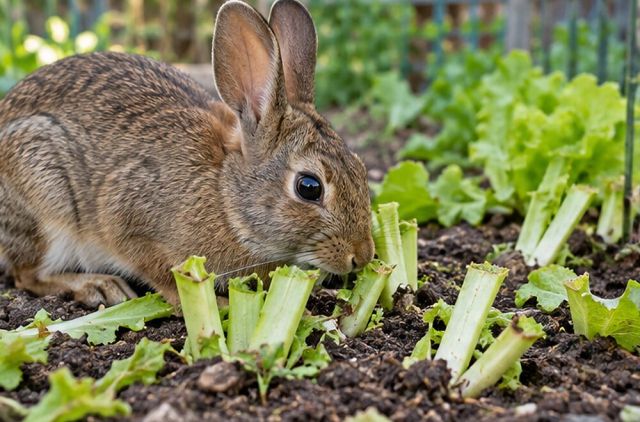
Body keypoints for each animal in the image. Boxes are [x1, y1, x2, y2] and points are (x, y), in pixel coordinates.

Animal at [0, 0, 374, 308]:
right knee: (27, 275)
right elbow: (165, 275)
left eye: (360, 168)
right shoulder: (128, 216)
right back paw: (99, 286)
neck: (226, 197)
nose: (363, 256)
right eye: (309, 187)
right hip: (44, 198)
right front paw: (216, 306)